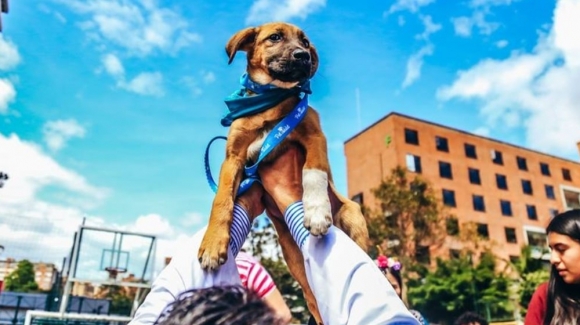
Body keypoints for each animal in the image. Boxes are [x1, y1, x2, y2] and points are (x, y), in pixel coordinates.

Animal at [199, 22, 370, 322]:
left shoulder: (315, 137)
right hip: (297, 266)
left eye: (305, 41)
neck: (270, 101)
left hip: (354, 220)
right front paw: (213, 242)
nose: (304, 56)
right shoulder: (233, 159)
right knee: (315, 303)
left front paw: (316, 211)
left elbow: (313, 173)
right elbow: (221, 200)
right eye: (275, 37)